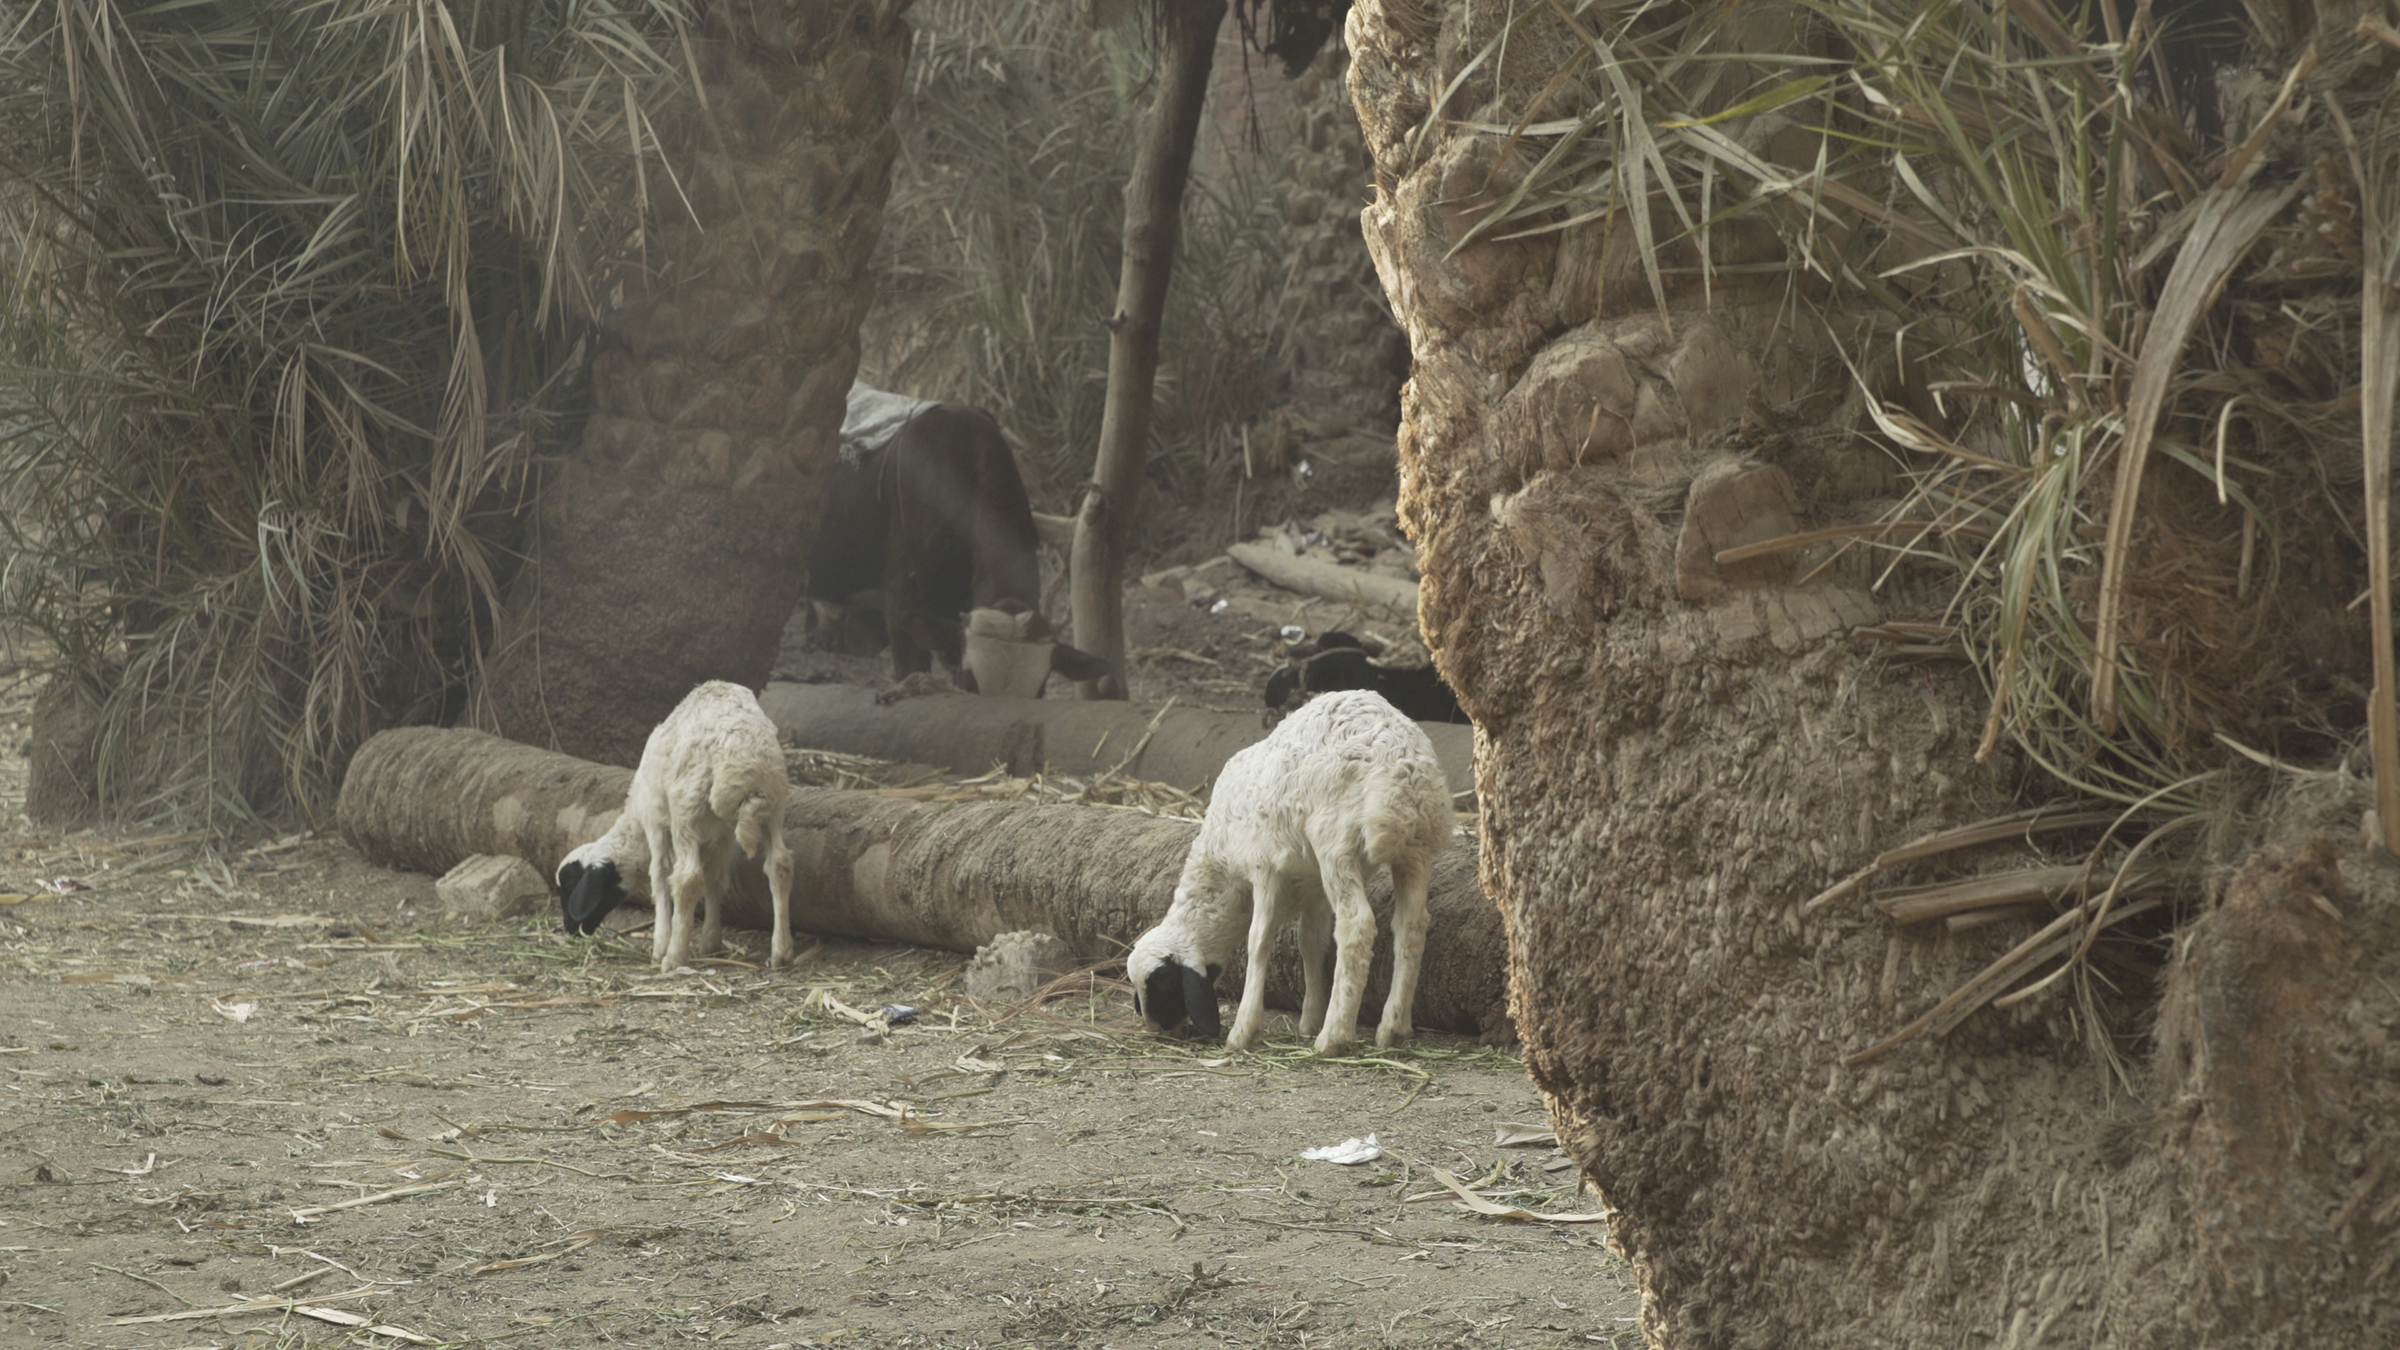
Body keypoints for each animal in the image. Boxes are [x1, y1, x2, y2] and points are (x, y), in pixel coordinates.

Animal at [554, 682, 796, 965]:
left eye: (571, 885)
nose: (570, 928)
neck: (634, 819)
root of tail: (740, 748)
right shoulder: (721, 835)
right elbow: (716, 878)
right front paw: (710, 942)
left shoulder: (655, 823)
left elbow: (659, 874)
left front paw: (660, 945)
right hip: (774, 802)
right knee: (779, 865)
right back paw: (781, 951)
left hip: (685, 808)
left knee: (687, 877)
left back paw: (674, 956)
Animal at [1123, 682, 1440, 1052]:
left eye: (1162, 984)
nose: (1157, 1030)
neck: (1220, 862)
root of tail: (1398, 765)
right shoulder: (1313, 885)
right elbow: (1310, 942)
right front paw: (1309, 1018)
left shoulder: (1264, 869)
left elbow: (1257, 941)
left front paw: (1243, 1030)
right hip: (1415, 849)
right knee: (1412, 926)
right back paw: (1393, 1028)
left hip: (1336, 844)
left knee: (1356, 926)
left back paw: (1334, 1036)